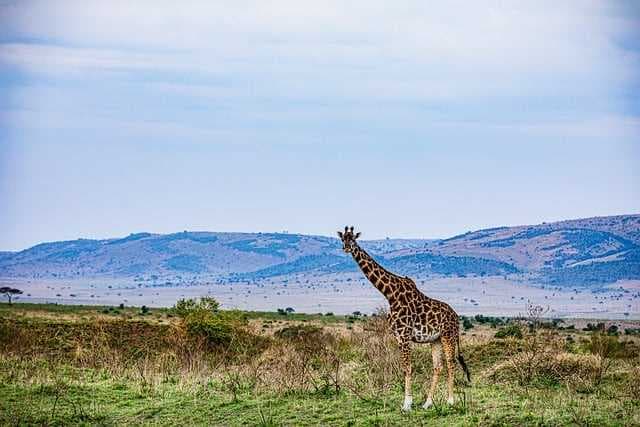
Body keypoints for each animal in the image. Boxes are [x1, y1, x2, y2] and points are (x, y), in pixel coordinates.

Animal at [340, 226, 470, 412]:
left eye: (353, 239)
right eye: (342, 238)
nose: (346, 248)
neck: (390, 294)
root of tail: (457, 317)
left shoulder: (404, 335)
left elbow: (407, 368)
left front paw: (407, 404)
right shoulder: (398, 336)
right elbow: (406, 368)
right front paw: (410, 402)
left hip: (448, 336)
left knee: (451, 363)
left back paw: (450, 401)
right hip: (435, 339)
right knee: (438, 366)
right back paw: (428, 403)